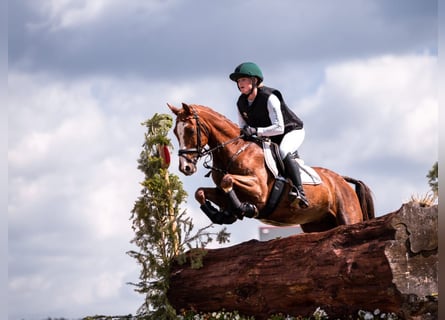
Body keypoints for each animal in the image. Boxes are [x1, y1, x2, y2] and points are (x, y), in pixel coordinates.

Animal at [168, 102, 372, 232]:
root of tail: (342, 180)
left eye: (190, 130)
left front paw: (243, 209)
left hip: (348, 216)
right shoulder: (221, 192)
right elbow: (200, 192)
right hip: (318, 224)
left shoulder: (259, 190)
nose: (185, 167)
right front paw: (222, 215)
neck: (234, 151)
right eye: (175, 132)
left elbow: (228, 179)